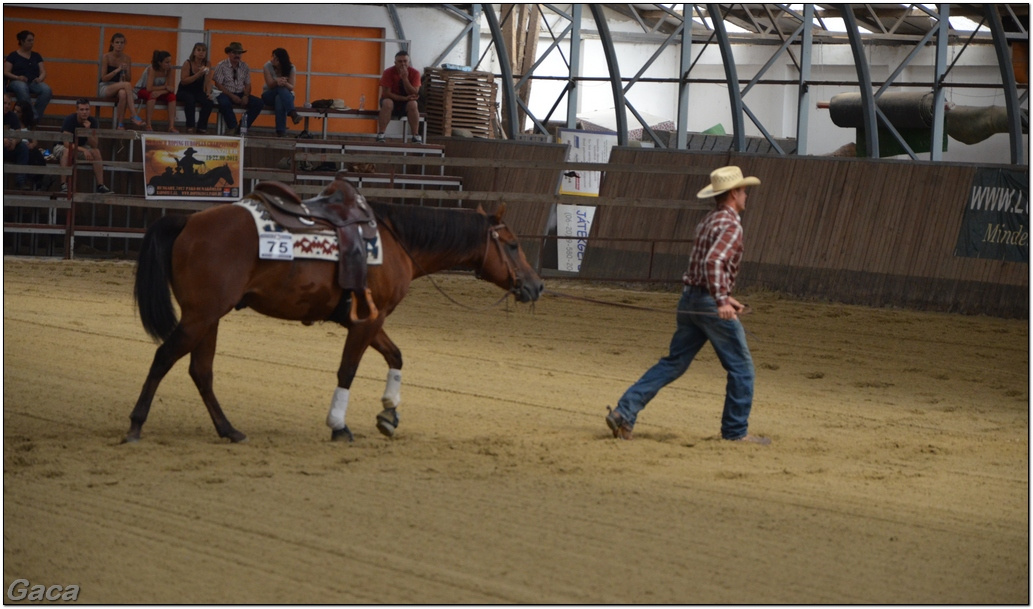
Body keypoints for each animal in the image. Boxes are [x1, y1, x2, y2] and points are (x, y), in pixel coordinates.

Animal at [128, 180, 545, 443]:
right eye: (512, 244)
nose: (536, 285)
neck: (396, 241)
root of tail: (188, 220)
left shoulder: (369, 319)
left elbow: (396, 356)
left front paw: (389, 414)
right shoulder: (368, 321)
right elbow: (348, 370)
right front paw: (339, 425)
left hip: (209, 317)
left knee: (201, 371)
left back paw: (229, 430)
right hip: (200, 316)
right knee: (164, 357)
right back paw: (135, 424)